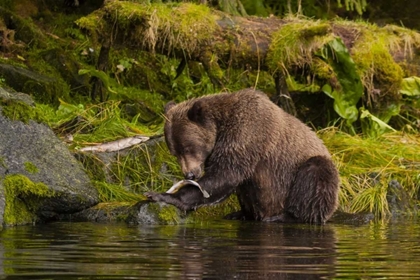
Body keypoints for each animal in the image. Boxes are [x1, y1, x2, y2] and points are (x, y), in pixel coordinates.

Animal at [146, 88, 340, 224]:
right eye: (175, 152)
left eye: (187, 148)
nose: (190, 174)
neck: (221, 127)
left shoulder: (247, 135)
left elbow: (224, 174)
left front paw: (163, 195)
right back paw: (239, 214)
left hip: (306, 173)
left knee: (316, 176)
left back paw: (285, 217)